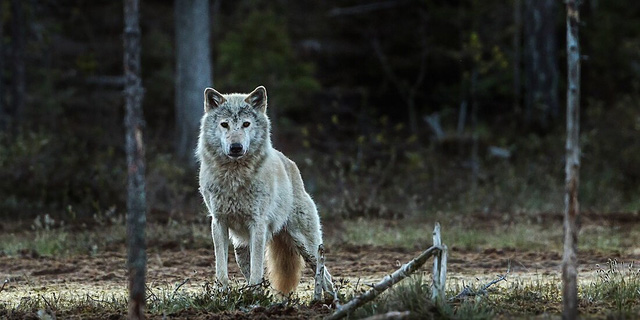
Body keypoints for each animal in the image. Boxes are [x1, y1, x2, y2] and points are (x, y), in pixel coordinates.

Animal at [195, 85, 336, 296]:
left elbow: (257, 270)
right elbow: (221, 269)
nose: (236, 147)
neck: (234, 178)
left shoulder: (258, 224)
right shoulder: (218, 223)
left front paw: (254, 295)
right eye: (224, 125)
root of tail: (291, 164)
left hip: (307, 246)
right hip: (241, 250)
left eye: (246, 124)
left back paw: (327, 300)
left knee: (325, 275)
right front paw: (222, 294)